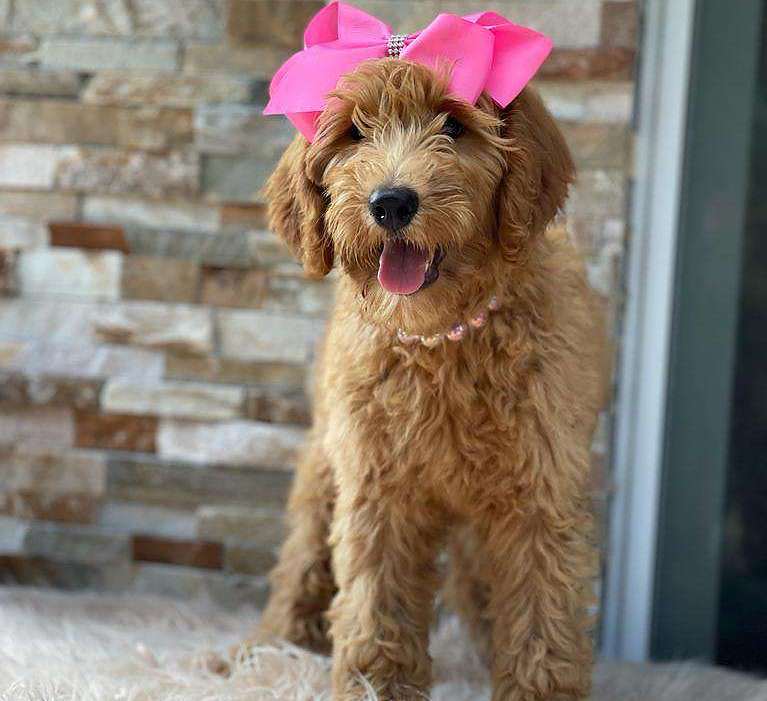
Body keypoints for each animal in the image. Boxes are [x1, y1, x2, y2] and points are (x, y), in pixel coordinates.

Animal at [251, 57, 608, 701]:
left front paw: (536, 685)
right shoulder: (377, 484)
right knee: (303, 555)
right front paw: (373, 685)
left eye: (454, 125)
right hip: (325, 459)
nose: (391, 203)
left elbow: (542, 614)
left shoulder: (541, 491)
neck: (443, 337)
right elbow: (376, 606)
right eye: (354, 133)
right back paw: (266, 651)